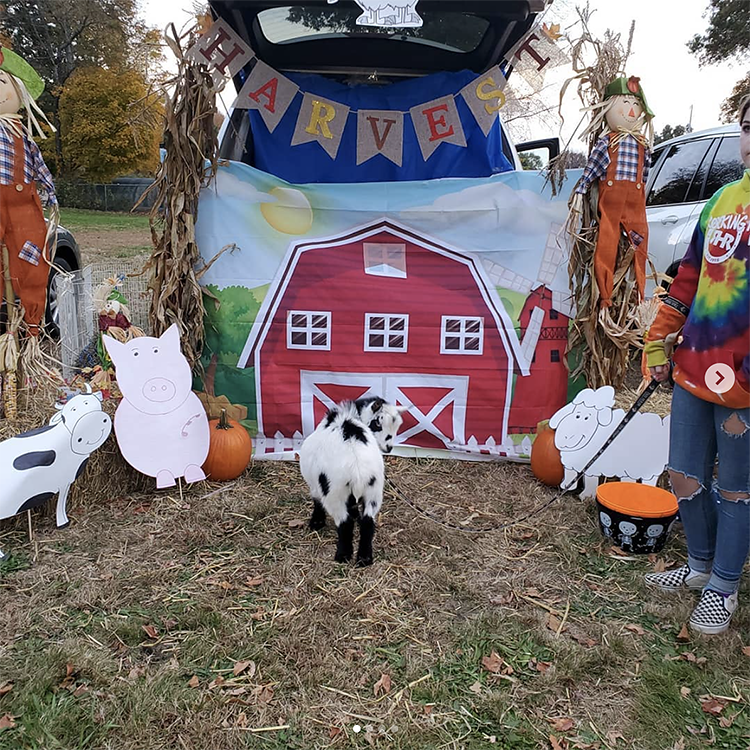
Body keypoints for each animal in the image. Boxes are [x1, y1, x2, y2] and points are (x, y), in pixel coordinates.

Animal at [300, 396, 408, 568]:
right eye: (378, 423)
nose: (389, 447)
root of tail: (357, 469)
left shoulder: (315, 483)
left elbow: (316, 500)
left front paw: (316, 522)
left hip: (334, 492)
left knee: (344, 523)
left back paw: (343, 555)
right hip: (374, 491)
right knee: (368, 522)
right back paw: (364, 558)